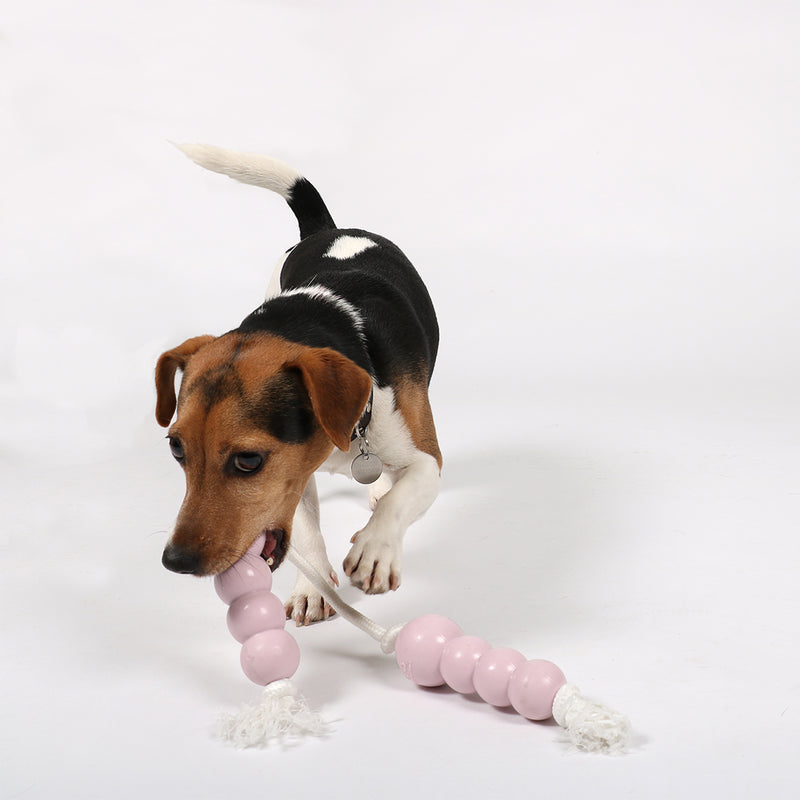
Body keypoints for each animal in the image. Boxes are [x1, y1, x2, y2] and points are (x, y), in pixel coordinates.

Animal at [155, 147, 444, 628]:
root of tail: (329, 229)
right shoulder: (296, 472)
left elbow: (401, 497)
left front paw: (376, 550)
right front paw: (311, 589)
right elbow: (305, 529)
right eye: (177, 449)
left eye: (248, 460)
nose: (175, 562)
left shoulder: (428, 460)